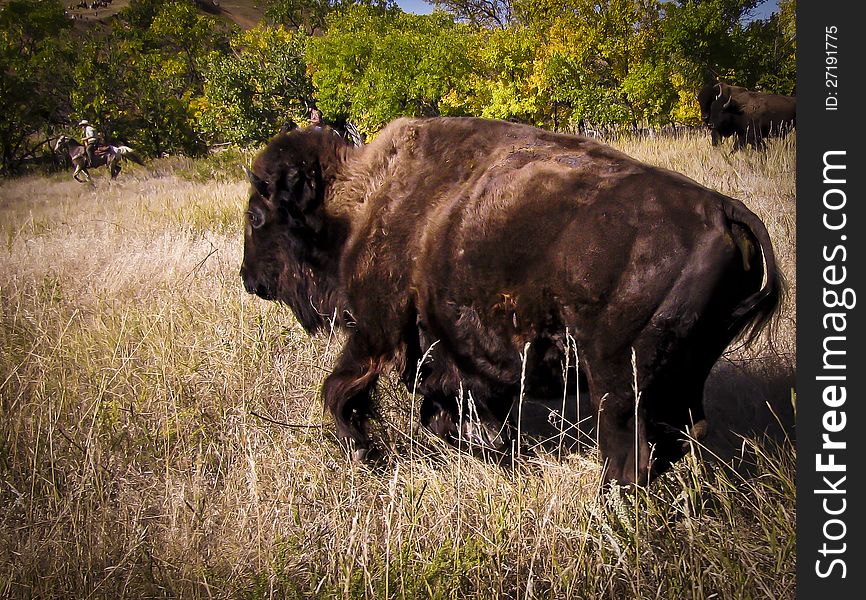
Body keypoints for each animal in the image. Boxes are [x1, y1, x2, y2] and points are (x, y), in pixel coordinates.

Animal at [238, 117, 784, 488]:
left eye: (258, 217)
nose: (248, 278)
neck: (359, 203)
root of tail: (724, 209)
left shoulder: (376, 331)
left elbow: (341, 390)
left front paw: (366, 453)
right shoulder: (458, 363)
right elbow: (442, 412)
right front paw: (497, 455)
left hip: (617, 381)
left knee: (629, 452)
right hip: (681, 375)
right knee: (678, 435)